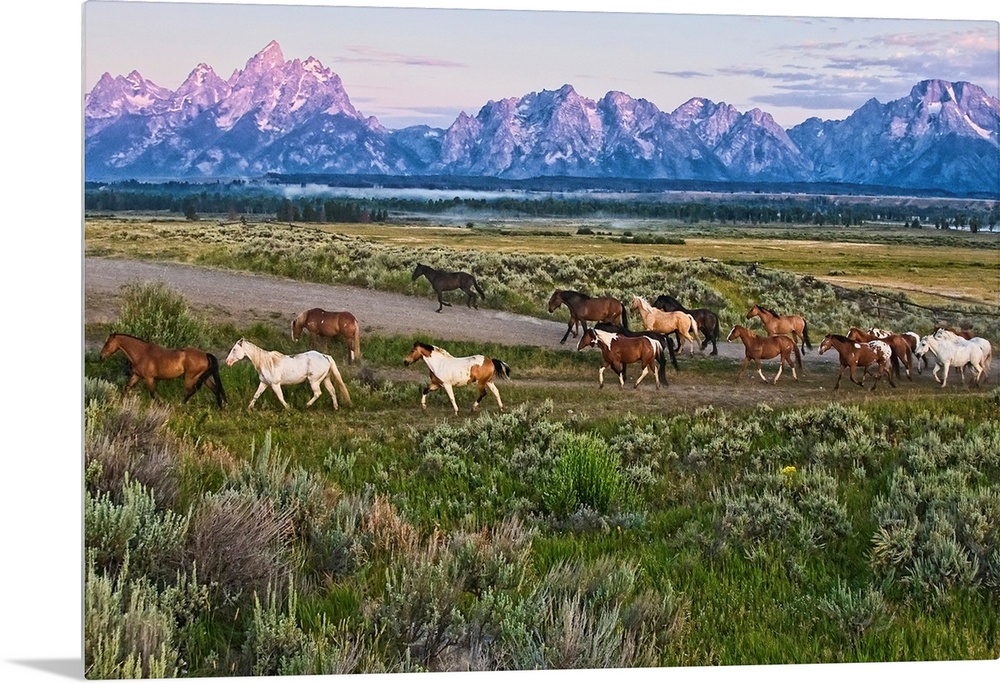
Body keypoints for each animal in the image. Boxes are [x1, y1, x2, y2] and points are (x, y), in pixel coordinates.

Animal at [99, 334, 227, 408]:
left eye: (107, 343)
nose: (101, 357)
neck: (141, 353)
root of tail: (205, 354)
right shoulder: (137, 375)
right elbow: (126, 388)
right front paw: (118, 403)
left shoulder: (149, 378)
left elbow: (153, 394)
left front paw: (163, 405)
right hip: (204, 378)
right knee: (215, 389)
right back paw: (220, 408)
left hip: (191, 377)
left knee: (190, 391)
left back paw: (180, 405)